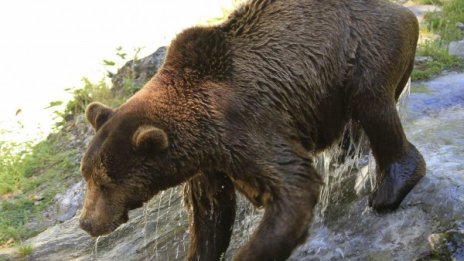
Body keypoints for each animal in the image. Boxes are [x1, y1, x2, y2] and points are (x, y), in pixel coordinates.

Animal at [78, 0, 426, 258]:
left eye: (106, 183)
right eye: (88, 177)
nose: (87, 222)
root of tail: (400, 8)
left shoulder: (244, 125)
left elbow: (294, 182)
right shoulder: (207, 163)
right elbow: (211, 213)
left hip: (364, 49)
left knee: (372, 105)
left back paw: (389, 189)